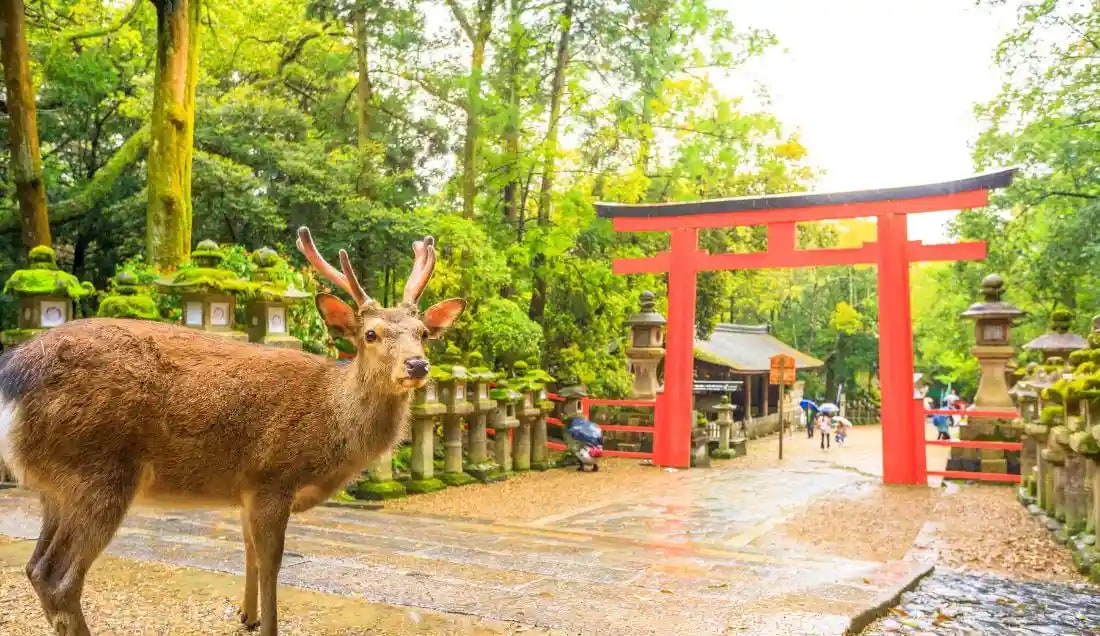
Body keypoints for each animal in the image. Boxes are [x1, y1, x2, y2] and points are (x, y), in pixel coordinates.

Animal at [0, 227, 466, 636]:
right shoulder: (273, 477)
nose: (417, 365)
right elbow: (272, 563)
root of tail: (13, 375)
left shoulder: (246, 488)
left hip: (56, 486)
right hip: (98, 471)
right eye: (370, 333)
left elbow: (250, 554)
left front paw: (247, 616)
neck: (330, 426)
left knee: (35, 567)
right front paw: (268, 626)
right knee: (59, 577)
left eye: (424, 333)